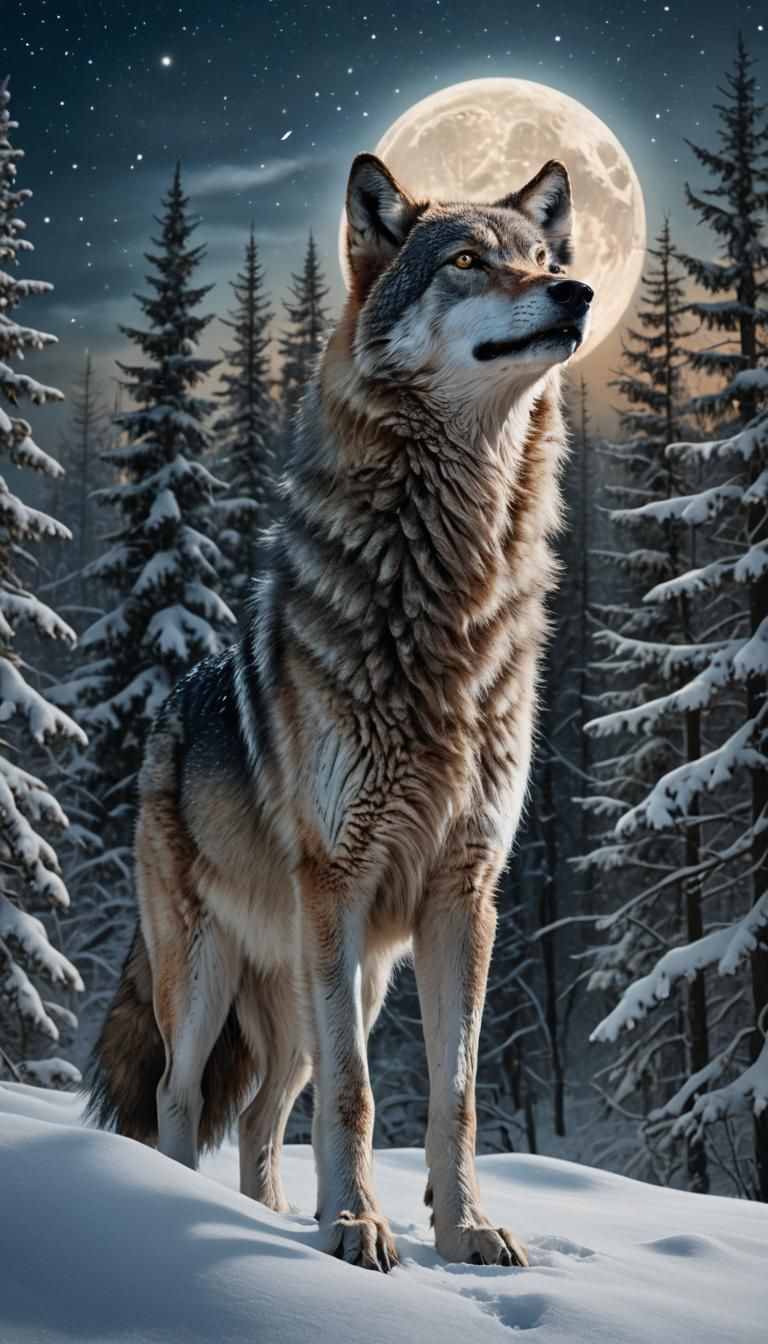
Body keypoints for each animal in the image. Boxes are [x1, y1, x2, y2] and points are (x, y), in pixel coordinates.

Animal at [88, 150, 592, 1272]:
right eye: (466, 261)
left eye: (541, 260)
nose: (581, 292)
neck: (451, 595)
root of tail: (164, 716)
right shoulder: (342, 881)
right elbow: (363, 1098)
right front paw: (359, 1228)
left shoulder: (465, 894)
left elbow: (454, 1098)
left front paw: (464, 1229)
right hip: (219, 974)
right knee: (184, 1098)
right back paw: (177, 1208)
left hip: (336, 989)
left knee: (265, 1114)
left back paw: (274, 1215)